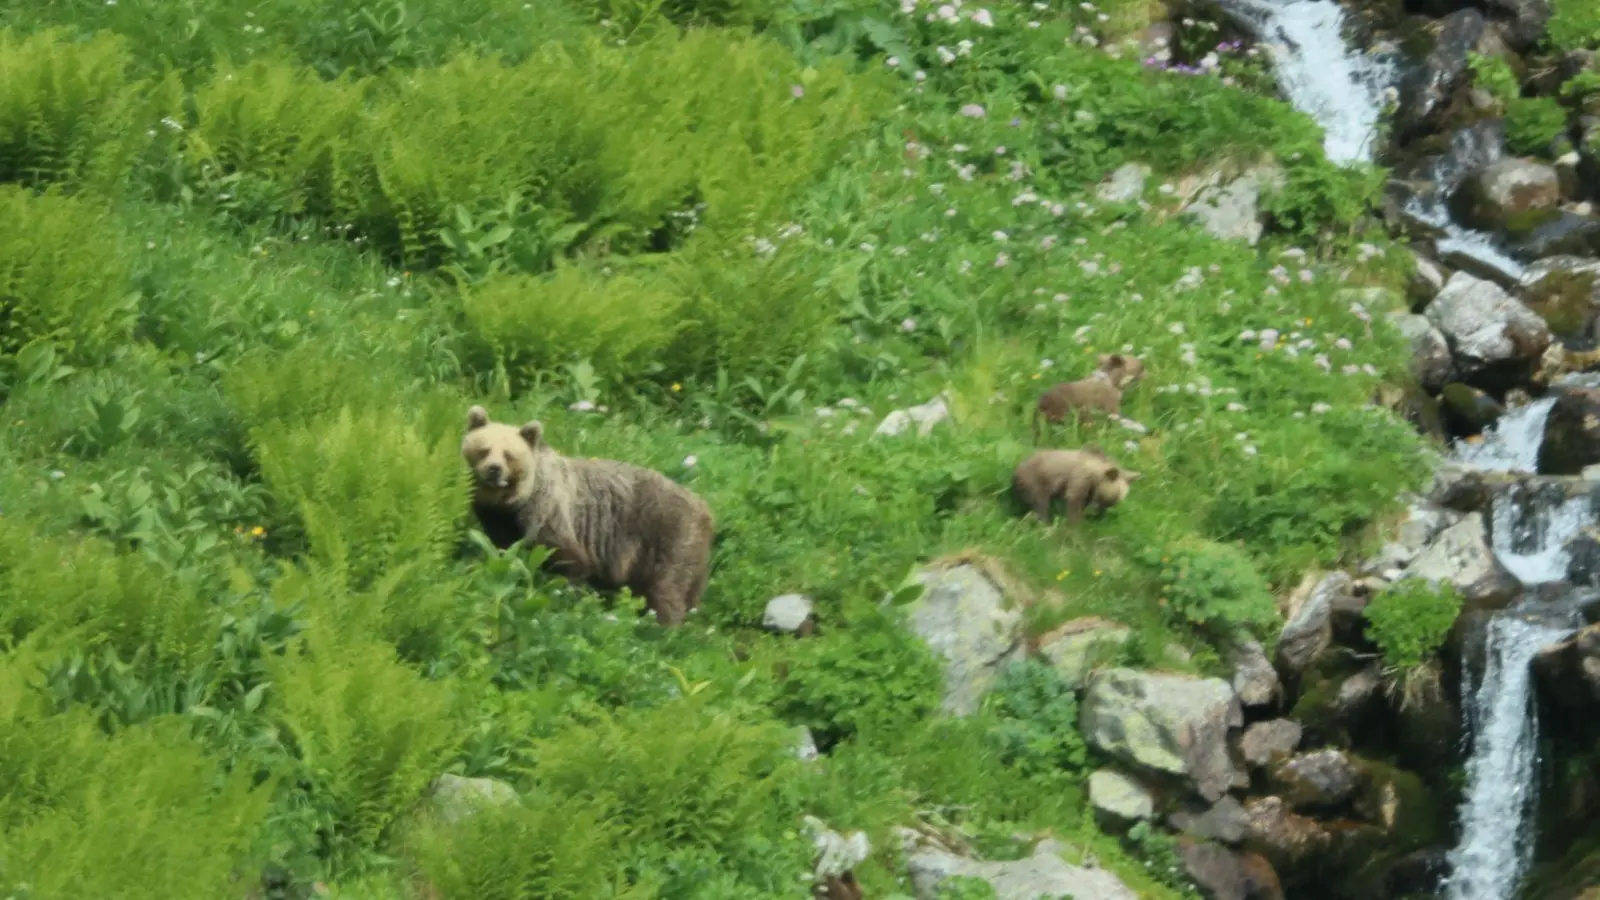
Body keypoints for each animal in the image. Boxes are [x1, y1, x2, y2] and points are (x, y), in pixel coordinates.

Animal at [460, 405, 715, 627]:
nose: (494, 469)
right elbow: (503, 550)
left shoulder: (549, 513)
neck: (513, 502)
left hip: (669, 536)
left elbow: (568, 559)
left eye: (509, 455)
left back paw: (662, 628)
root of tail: (705, 509)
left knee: (666, 587)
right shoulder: (497, 520)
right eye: (484, 449)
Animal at [1011, 445, 1141, 524]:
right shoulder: (1079, 480)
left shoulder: (1088, 491)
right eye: (1109, 498)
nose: (1099, 515)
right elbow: (1074, 502)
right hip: (1035, 480)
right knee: (1040, 503)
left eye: (1116, 501)